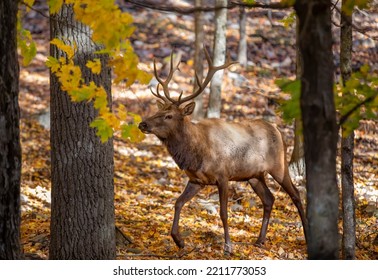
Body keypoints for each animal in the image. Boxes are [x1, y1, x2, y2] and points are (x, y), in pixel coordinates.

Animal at [138, 49, 308, 255]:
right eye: (158, 111)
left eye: (168, 116)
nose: (143, 124)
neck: (197, 153)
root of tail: (278, 130)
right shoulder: (196, 180)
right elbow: (178, 202)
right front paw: (179, 240)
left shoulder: (223, 175)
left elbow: (223, 212)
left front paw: (228, 246)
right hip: (254, 175)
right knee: (269, 198)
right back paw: (260, 240)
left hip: (279, 165)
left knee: (296, 194)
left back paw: (307, 236)